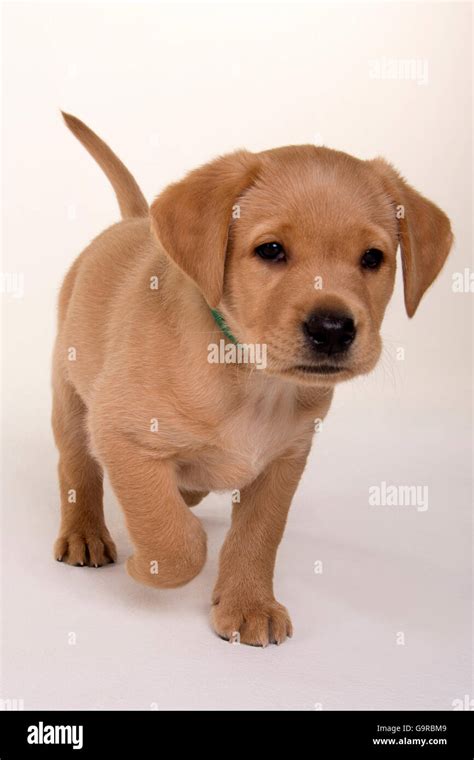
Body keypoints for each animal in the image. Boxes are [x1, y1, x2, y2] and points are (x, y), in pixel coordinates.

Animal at [51, 114, 452, 648]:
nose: (332, 329)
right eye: (271, 250)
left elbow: (258, 538)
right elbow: (176, 540)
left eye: (372, 258)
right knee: (77, 472)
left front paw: (248, 605)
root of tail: (133, 221)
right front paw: (148, 565)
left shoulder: (285, 461)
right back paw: (86, 534)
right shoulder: (121, 432)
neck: (255, 380)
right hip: (71, 401)